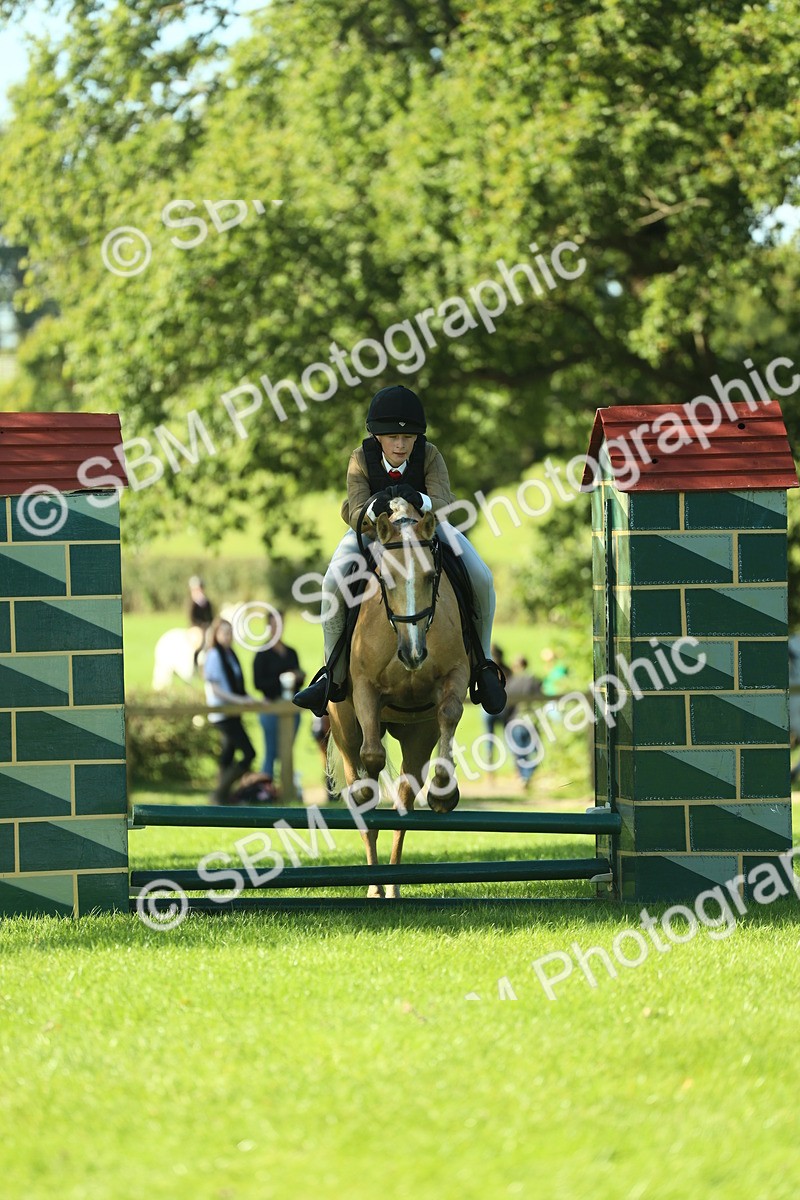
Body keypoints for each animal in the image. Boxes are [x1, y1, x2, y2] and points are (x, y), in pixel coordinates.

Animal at [327, 498, 471, 898]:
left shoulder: (456, 674)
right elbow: (372, 756)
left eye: (430, 577)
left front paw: (444, 793)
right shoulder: (363, 688)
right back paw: (374, 886)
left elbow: (449, 712)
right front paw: (365, 790)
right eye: (387, 579)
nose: (413, 654)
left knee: (404, 800)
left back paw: (390, 885)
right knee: (361, 777)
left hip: (418, 736)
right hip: (344, 729)